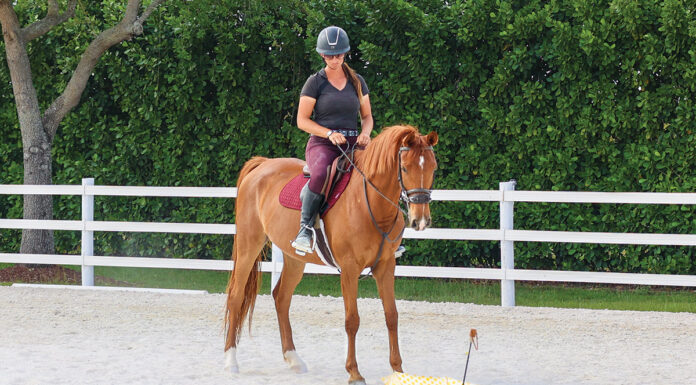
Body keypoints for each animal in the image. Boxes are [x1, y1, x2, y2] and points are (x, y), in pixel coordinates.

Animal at [226, 124, 438, 382]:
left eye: (433, 168)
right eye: (405, 167)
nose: (420, 220)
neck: (369, 203)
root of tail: (262, 165)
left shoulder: (386, 266)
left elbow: (392, 315)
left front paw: (398, 370)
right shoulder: (349, 269)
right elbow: (352, 320)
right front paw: (354, 372)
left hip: (294, 258)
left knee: (281, 297)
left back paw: (294, 359)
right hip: (249, 244)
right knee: (236, 296)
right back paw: (231, 361)